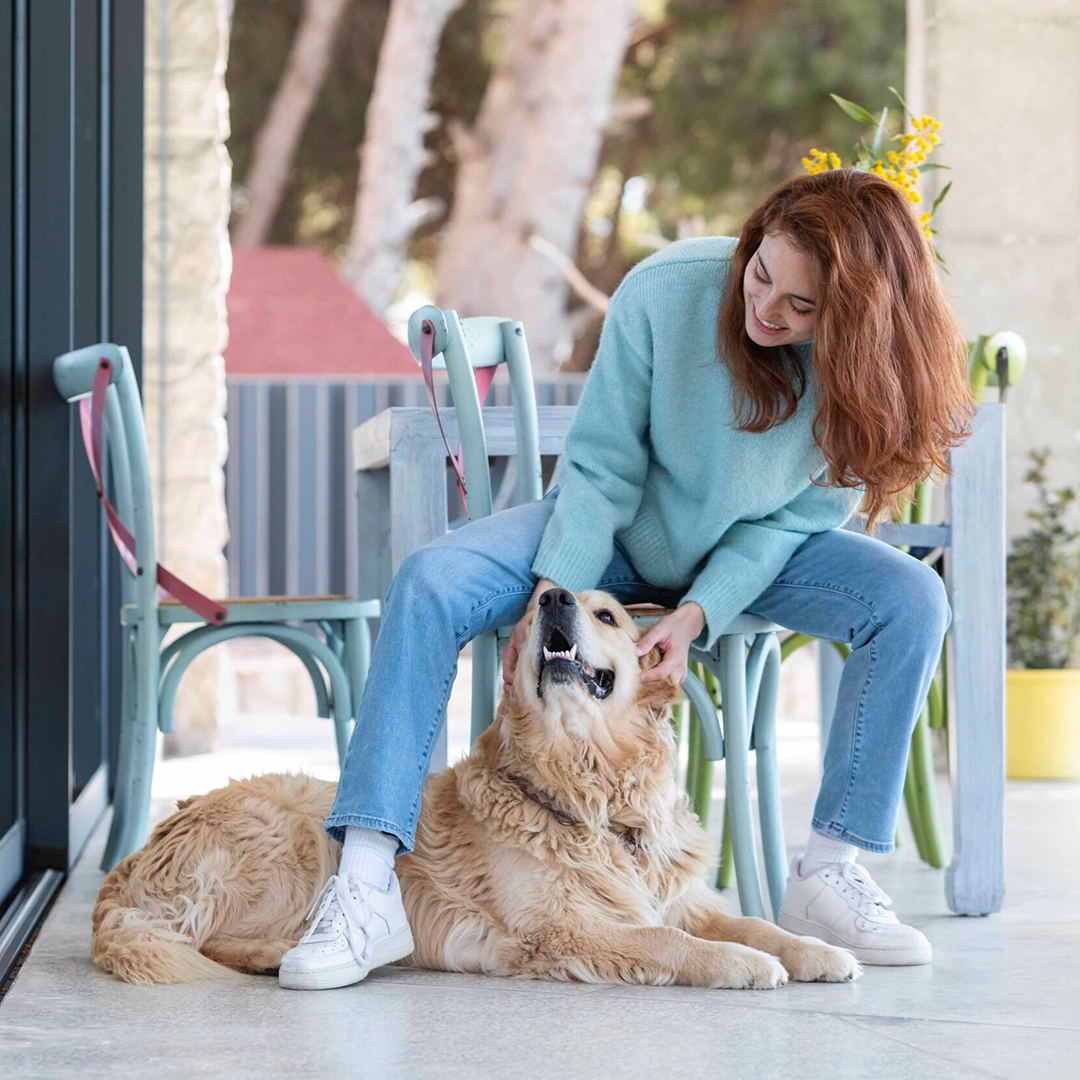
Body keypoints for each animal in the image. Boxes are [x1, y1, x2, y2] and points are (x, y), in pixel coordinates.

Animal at [92, 587, 859, 989]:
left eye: (608, 615)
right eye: (539, 606)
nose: (553, 597)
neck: (592, 796)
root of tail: (130, 863)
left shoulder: (682, 897)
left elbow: (752, 921)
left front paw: (815, 950)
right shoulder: (563, 926)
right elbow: (669, 942)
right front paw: (742, 964)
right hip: (296, 830)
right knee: (204, 942)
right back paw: (284, 954)